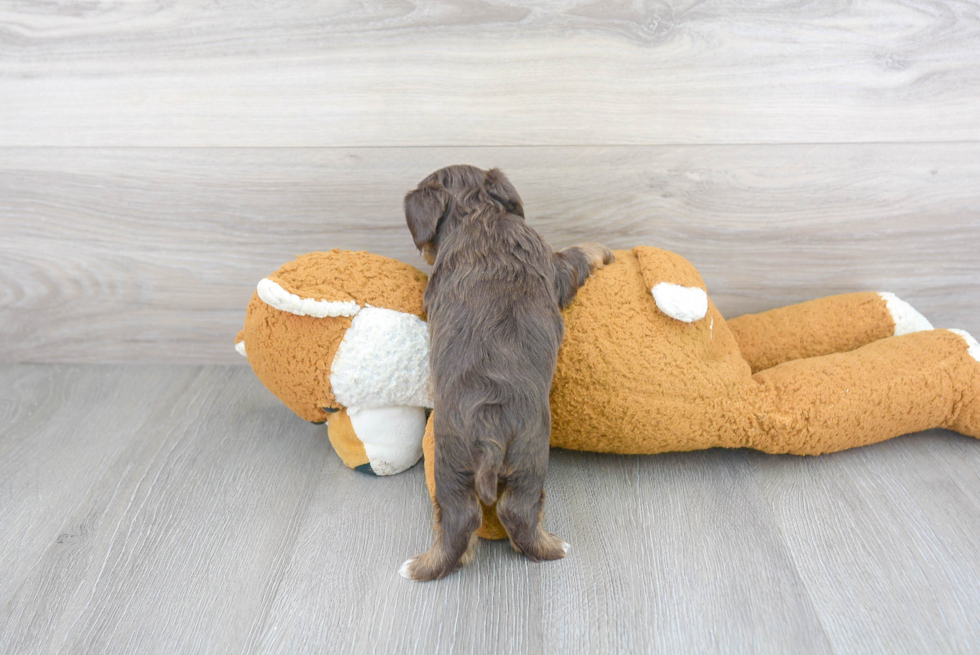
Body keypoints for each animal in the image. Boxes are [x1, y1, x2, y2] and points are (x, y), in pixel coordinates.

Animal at [398, 167, 612, 580]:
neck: (478, 214)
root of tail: (488, 433)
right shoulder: (556, 266)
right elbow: (576, 253)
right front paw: (601, 249)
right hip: (530, 458)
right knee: (517, 512)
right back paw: (552, 547)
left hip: (450, 465)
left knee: (457, 520)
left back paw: (425, 564)